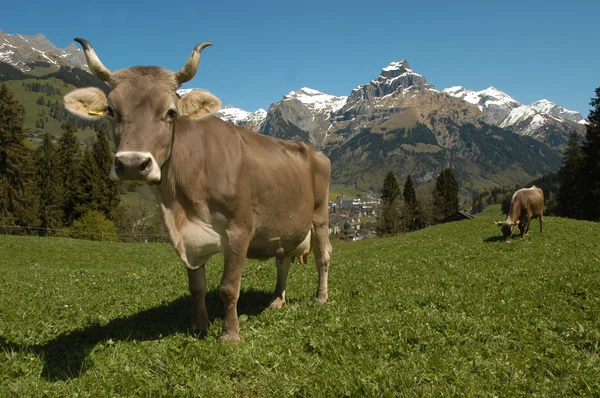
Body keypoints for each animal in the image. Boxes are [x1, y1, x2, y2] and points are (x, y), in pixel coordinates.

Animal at [65, 38, 332, 342]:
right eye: (111, 110)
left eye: (170, 112)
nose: (132, 164)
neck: (180, 203)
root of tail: (313, 150)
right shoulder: (187, 238)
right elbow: (197, 288)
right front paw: (198, 327)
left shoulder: (240, 230)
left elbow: (228, 288)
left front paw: (230, 334)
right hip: (285, 227)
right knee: (283, 260)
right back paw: (277, 300)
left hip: (320, 216)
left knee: (322, 258)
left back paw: (321, 297)